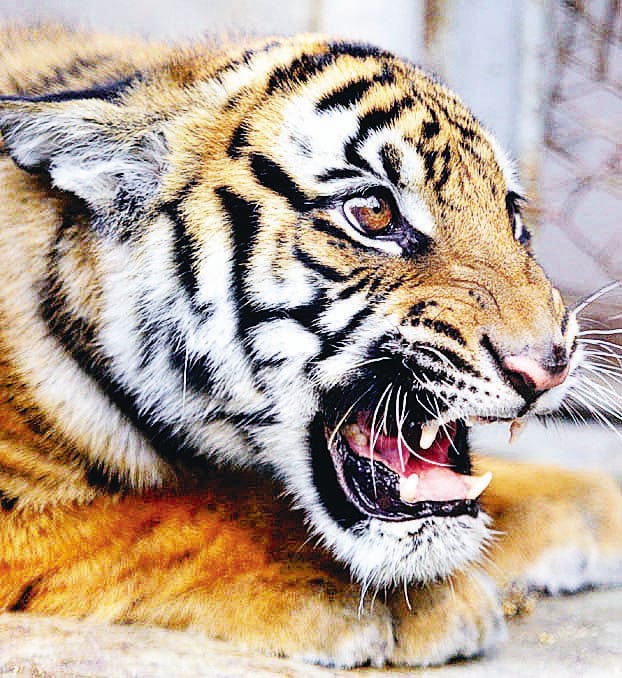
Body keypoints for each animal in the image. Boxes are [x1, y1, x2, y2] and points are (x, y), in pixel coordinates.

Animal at [0, 23, 620, 669]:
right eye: (373, 212)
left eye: (511, 212)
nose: (550, 367)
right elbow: (178, 514)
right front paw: (398, 596)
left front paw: (599, 502)